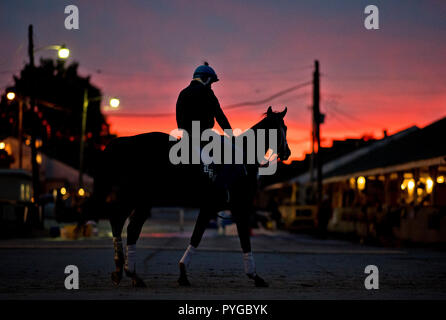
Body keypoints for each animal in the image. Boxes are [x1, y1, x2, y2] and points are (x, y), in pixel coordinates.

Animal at [92, 107, 290, 288]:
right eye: (284, 127)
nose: (287, 152)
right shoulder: (238, 208)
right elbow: (242, 240)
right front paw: (254, 276)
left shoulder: (210, 208)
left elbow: (197, 235)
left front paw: (183, 273)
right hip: (142, 200)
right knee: (131, 228)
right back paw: (131, 273)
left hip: (132, 199)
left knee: (118, 222)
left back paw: (121, 270)